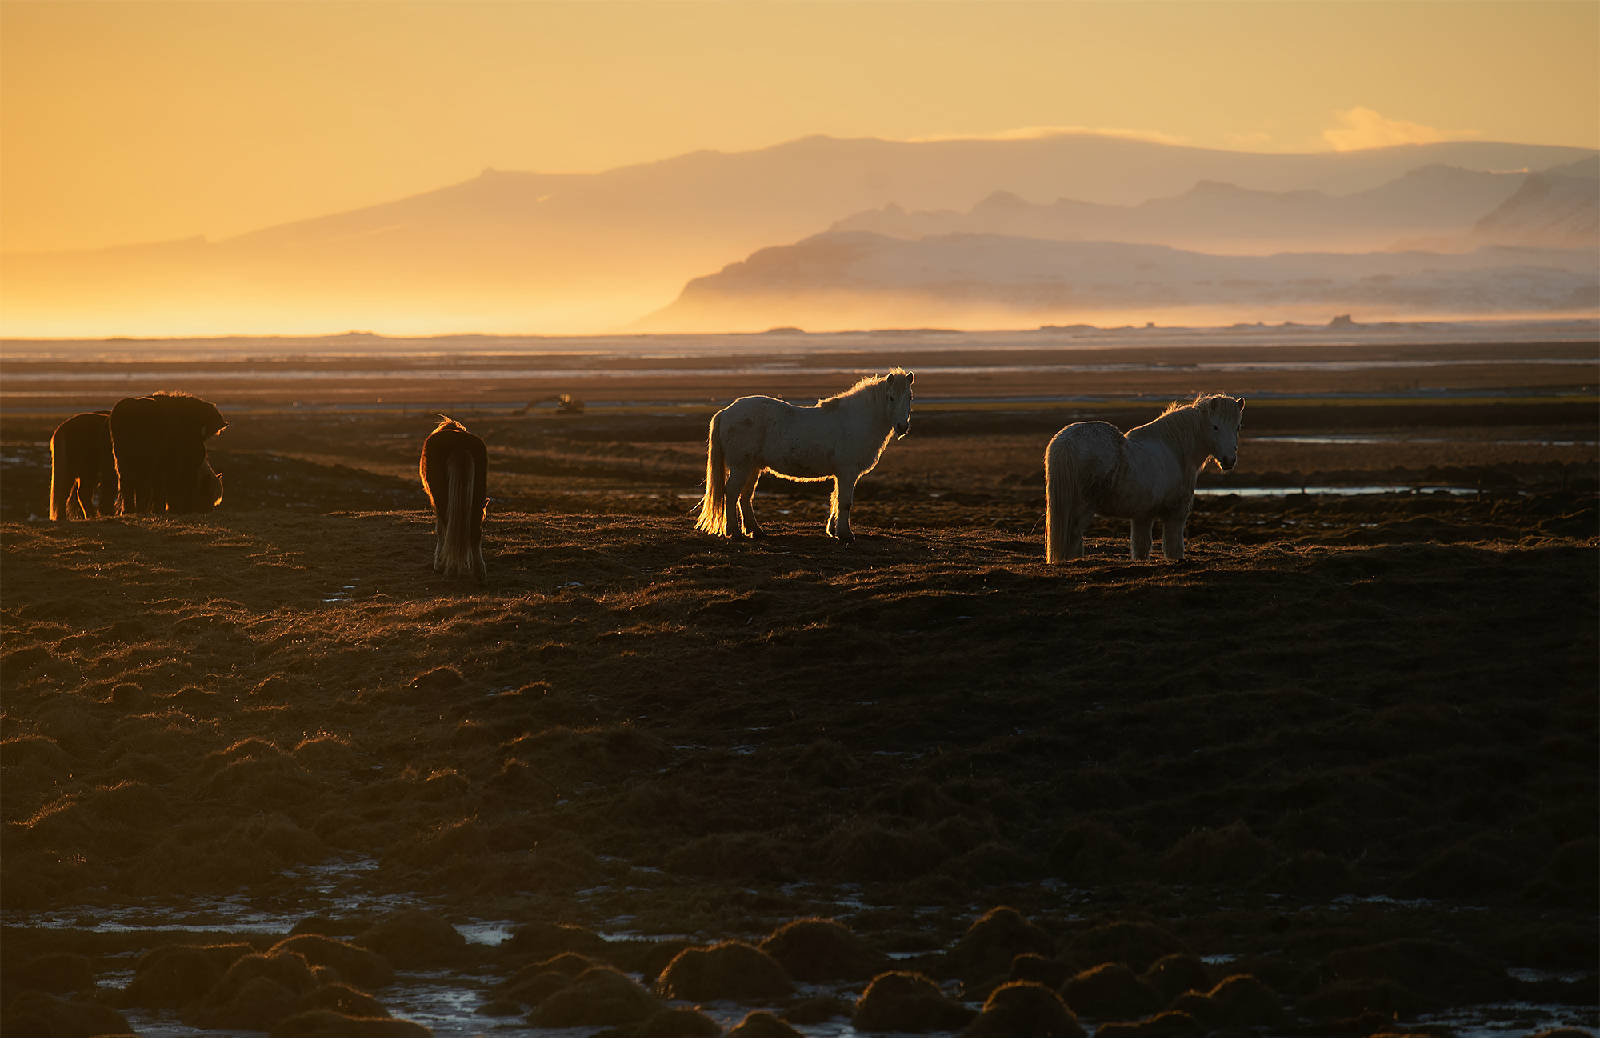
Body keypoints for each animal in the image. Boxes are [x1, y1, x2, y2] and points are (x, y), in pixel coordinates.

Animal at [419, 412, 486, 578]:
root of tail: (459, 444)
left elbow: (440, 529)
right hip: (477, 495)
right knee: (474, 529)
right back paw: (478, 570)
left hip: (441, 496)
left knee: (446, 524)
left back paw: (442, 565)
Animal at [697, 367, 921, 543]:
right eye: (891, 397)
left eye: (910, 397)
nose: (903, 427)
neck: (856, 420)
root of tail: (726, 412)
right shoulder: (847, 473)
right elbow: (844, 502)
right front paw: (846, 535)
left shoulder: (841, 474)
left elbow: (835, 498)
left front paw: (833, 531)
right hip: (741, 467)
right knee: (732, 493)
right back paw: (733, 532)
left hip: (753, 467)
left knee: (745, 496)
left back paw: (756, 531)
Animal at [1043, 393, 1241, 562]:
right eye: (1215, 427)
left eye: (1237, 427)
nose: (1229, 460)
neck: (1174, 450)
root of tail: (1066, 442)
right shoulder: (1175, 515)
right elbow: (1173, 549)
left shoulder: (1142, 516)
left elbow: (1140, 548)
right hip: (1082, 507)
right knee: (1074, 537)